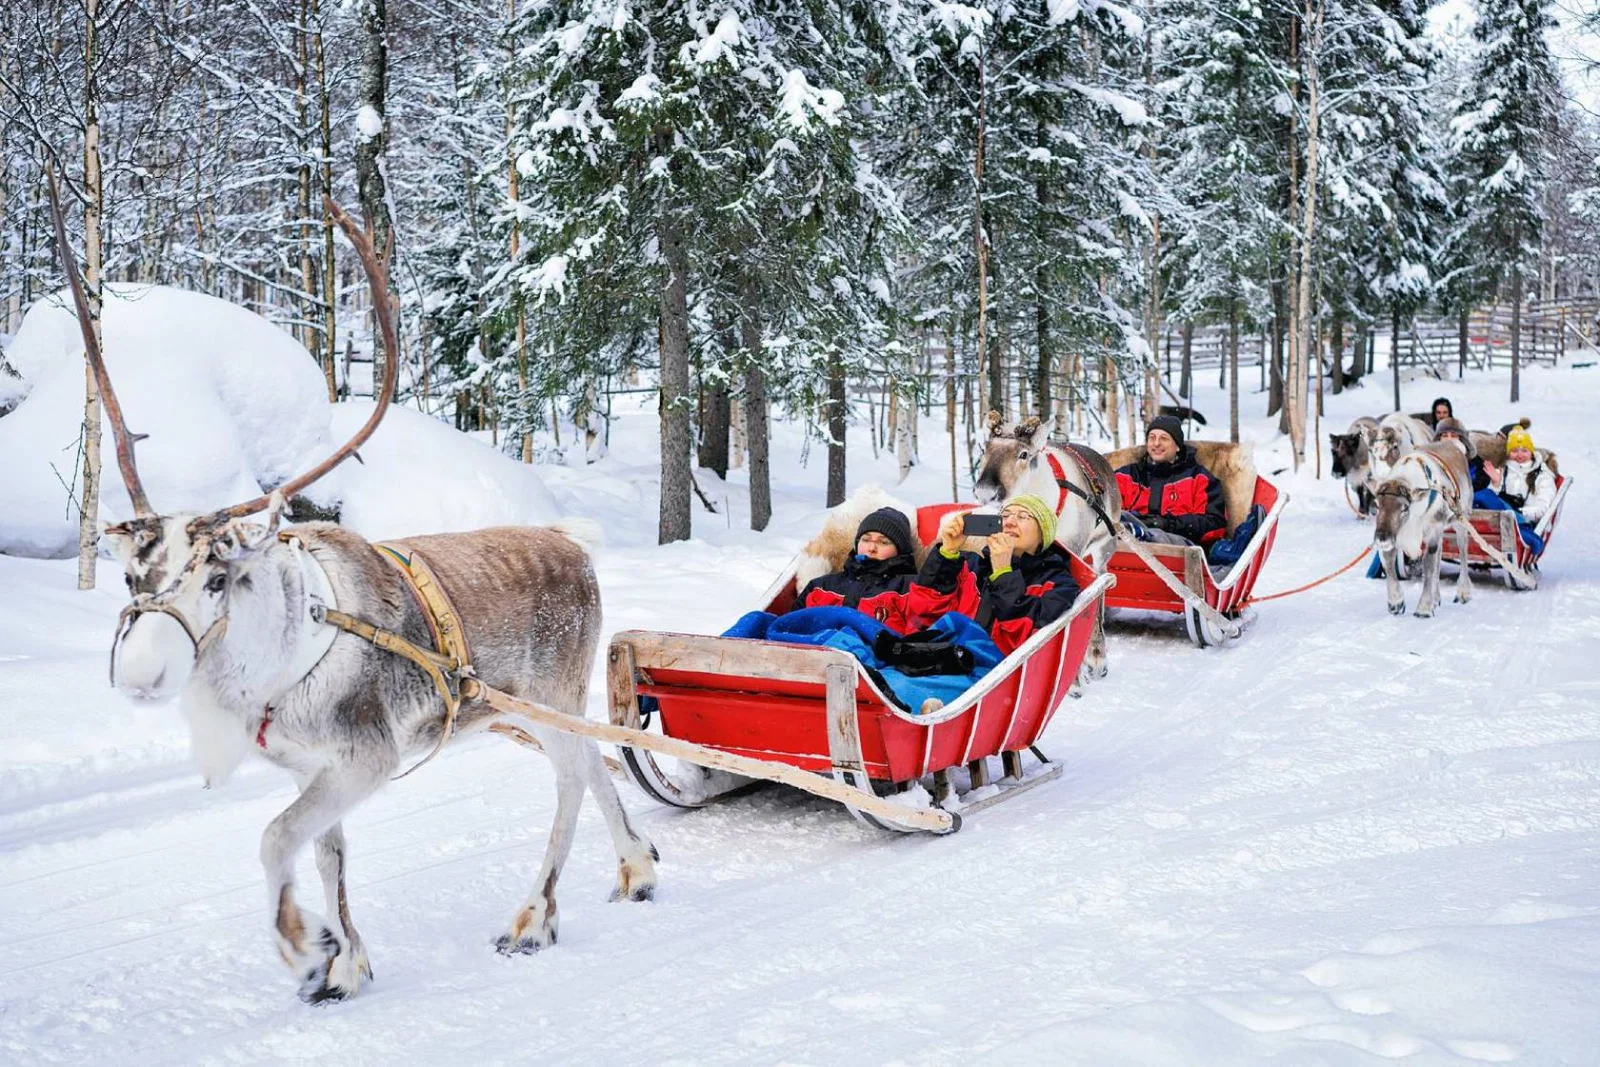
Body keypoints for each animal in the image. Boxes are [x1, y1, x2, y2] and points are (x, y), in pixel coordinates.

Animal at [48, 178, 657, 1004]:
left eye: (218, 576)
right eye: (129, 574)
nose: (141, 673)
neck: (271, 664)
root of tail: (573, 546)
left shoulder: (364, 756)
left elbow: (274, 835)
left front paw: (305, 947)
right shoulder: (314, 766)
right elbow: (327, 853)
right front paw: (344, 959)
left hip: (551, 694)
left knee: (569, 779)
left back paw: (535, 916)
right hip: (523, 709)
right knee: (595, 760)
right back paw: (637, 865)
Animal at [972, 412, 1121, 680]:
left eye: (1023, 454)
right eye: (984, 448)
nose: (985, 492)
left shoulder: (1076, 552)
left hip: (1104, 548)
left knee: (1102, 587)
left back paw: (1096, 656)